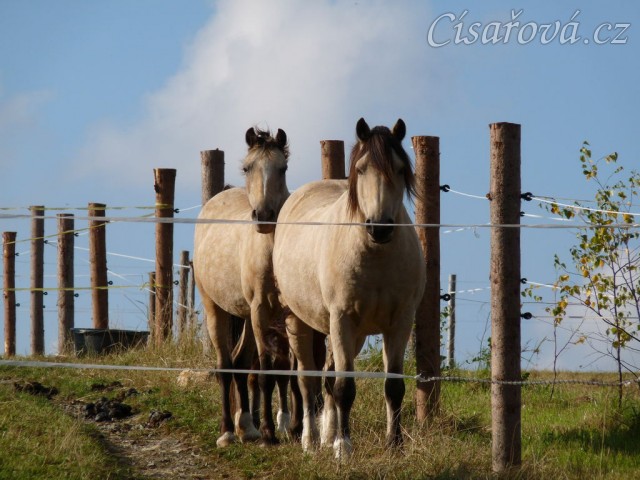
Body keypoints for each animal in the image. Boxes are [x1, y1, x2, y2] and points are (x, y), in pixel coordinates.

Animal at [193, 126, 293, 447]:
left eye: (282, 168)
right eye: (248, 167)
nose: (263, 215)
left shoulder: (284, 314)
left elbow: (278, 371)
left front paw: (276, 426)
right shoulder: (261, 310)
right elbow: (265, 373)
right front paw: (269, 434)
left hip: (247, 316)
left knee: (239, 363)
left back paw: (246, 426)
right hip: (216, 308)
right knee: (226, 365)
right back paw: (227, 432)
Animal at [272, 118, 426, 459]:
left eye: (399, 169)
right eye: (362, 168)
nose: (380, 227)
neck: (375, 256)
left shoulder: (401, 321)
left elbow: (393, 386)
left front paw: (394, 446)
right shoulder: (341, 319)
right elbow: (344, 386)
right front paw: (344, 447)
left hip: (354, 335)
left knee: (328, 377)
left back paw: (327, 435)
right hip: (298, 322)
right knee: (308, 381)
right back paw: (311, 440)